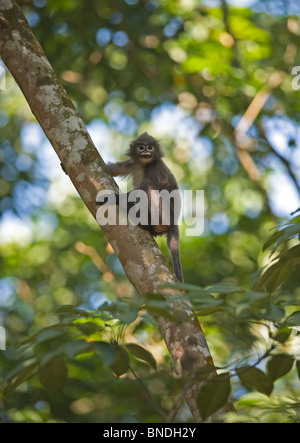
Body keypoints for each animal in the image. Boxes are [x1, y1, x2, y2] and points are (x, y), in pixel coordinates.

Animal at [97, 133, 184, 284]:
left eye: (150, 147)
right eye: (141, 147)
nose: (146, 152)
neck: (144, 164)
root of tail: (174, 221)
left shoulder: (155, 167)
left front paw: (113, 198)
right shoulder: (132, 163)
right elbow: (110, 169)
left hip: (164, 214)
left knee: (147, 184)